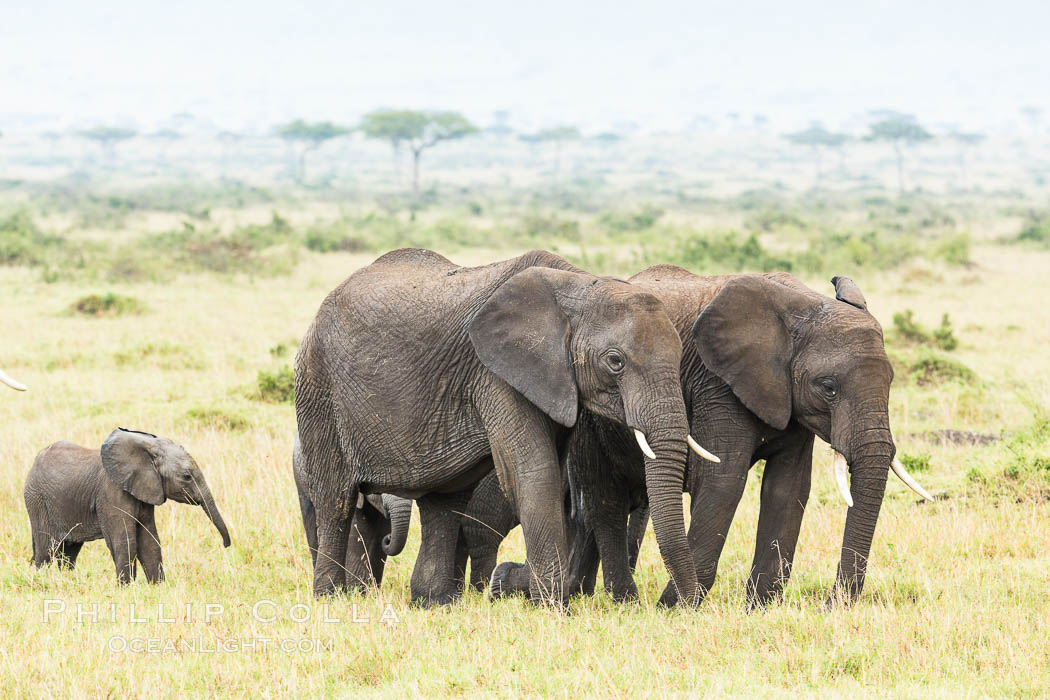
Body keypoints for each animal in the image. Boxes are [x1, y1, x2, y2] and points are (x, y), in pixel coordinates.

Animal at [23, 428, 230, 587]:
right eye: (187, 477)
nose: (226, 545)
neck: (147, 449)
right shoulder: (111, 493)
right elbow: (125, 540)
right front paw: (126, 589)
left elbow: (149, 541)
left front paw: (158, 588)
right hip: (37, 499)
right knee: (46, 548)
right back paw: (39, 579)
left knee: (68, 552)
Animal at [291, 248, 709, 604]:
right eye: (615, 361)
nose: (684, 606)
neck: (579, 286)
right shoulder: (497, 373)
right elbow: (534, 474)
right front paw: (553, 606)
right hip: (318, 389)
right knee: (335, 500)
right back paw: (329, 599)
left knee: (444, 501)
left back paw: (434, 602)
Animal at [464, 268, 932, 608]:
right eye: (829, 387)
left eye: (892, 380)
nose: (833, 603)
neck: (800, 306)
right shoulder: (718, 386)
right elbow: (724, 482)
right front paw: (677, 607)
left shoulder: (788, 400)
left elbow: (788, 489)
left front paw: (759, 607)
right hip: (586, 420)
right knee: (603, 501)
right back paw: (621, 601)